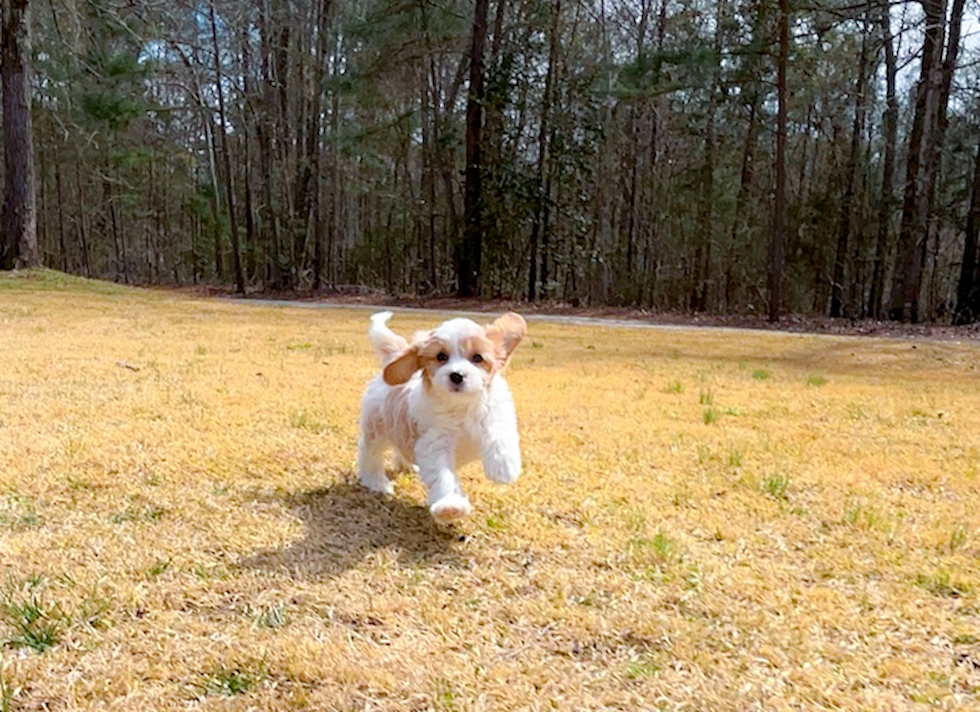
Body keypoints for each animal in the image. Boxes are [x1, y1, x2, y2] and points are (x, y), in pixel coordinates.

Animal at [358, 310, 528, 524]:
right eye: (441, 356)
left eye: (477, 357)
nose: (456, 375)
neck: (461, 407)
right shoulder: (435, 444)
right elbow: (443, 476)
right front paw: (450, 507)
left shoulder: (496, 411)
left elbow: (499, 432)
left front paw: (503, 467)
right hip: (377, 429)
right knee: (370, 453)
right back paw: (377, 482)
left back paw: (406, 465)